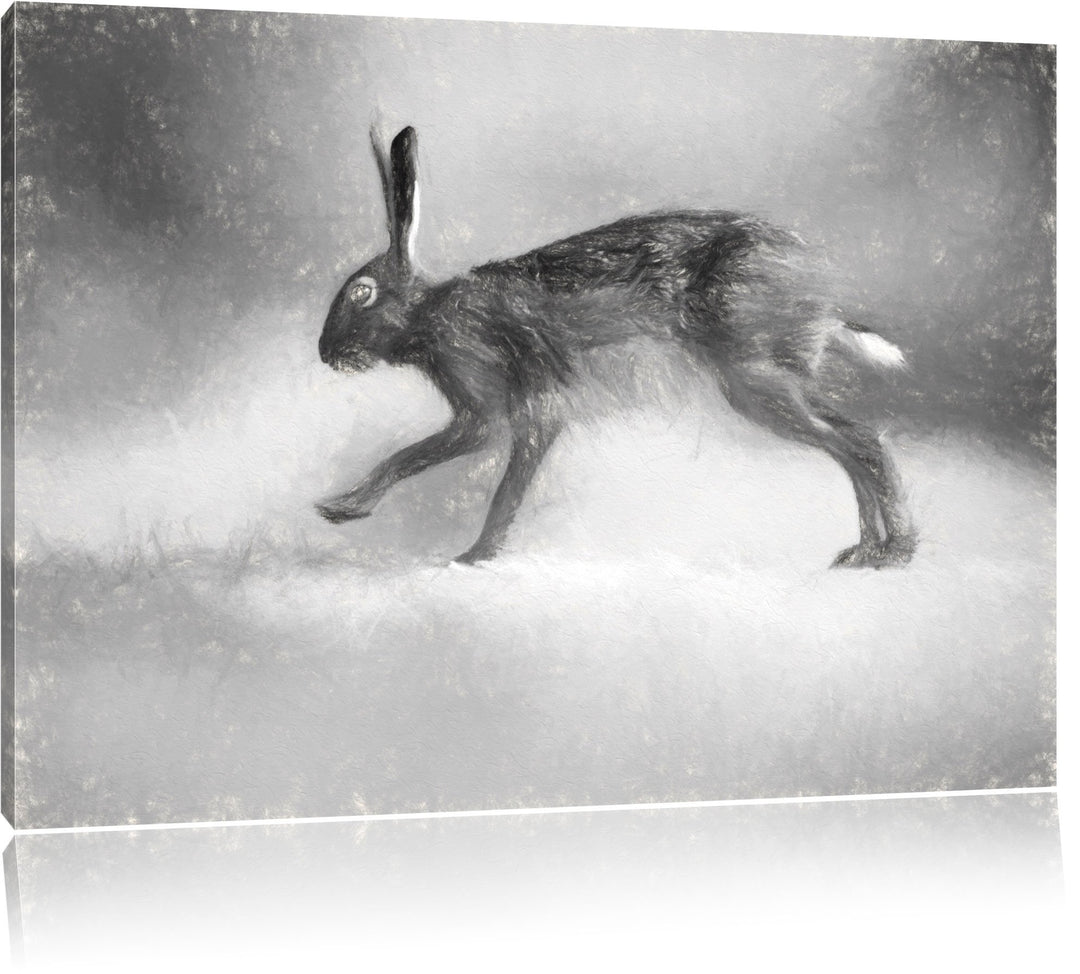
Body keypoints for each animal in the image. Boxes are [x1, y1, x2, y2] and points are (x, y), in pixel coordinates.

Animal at [317, 125, 916, 569]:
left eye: (361, 293)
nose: (324, 353)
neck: (429, 315)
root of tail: (818, 298)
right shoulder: (497, 415)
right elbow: (429, 462)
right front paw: (345, 509)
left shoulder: (511, 406)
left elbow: (483, 481)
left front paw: (471, 554)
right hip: (769, 382)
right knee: (854, 444)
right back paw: (866, 550)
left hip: (755, 380)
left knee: (862, 443)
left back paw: (893, 554)